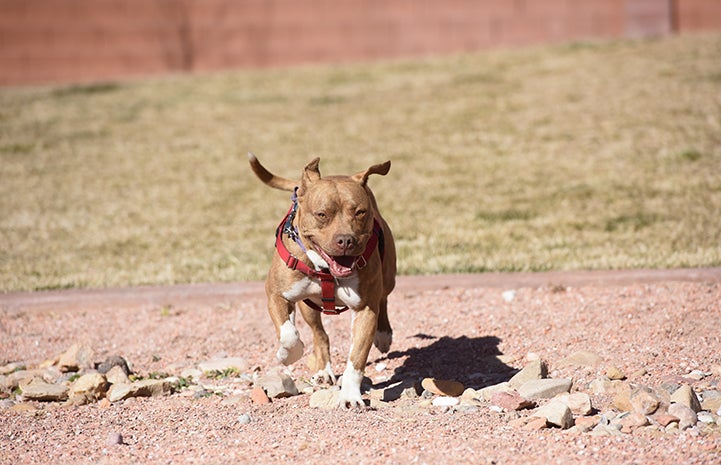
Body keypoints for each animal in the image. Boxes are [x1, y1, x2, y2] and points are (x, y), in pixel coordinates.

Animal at [246, 153, 394, 406]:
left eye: (360, 212)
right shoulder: (276, 295)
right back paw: (323, 369)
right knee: (318, 332)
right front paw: (286, 355)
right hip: (309, 306)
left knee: (383, 297)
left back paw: (383, 335)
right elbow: (289, 334)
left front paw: (350, 395)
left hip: (389, 277)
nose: (346, 240)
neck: (326, 270)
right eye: (322, 214)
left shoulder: (365, 309)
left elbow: (357, 358)